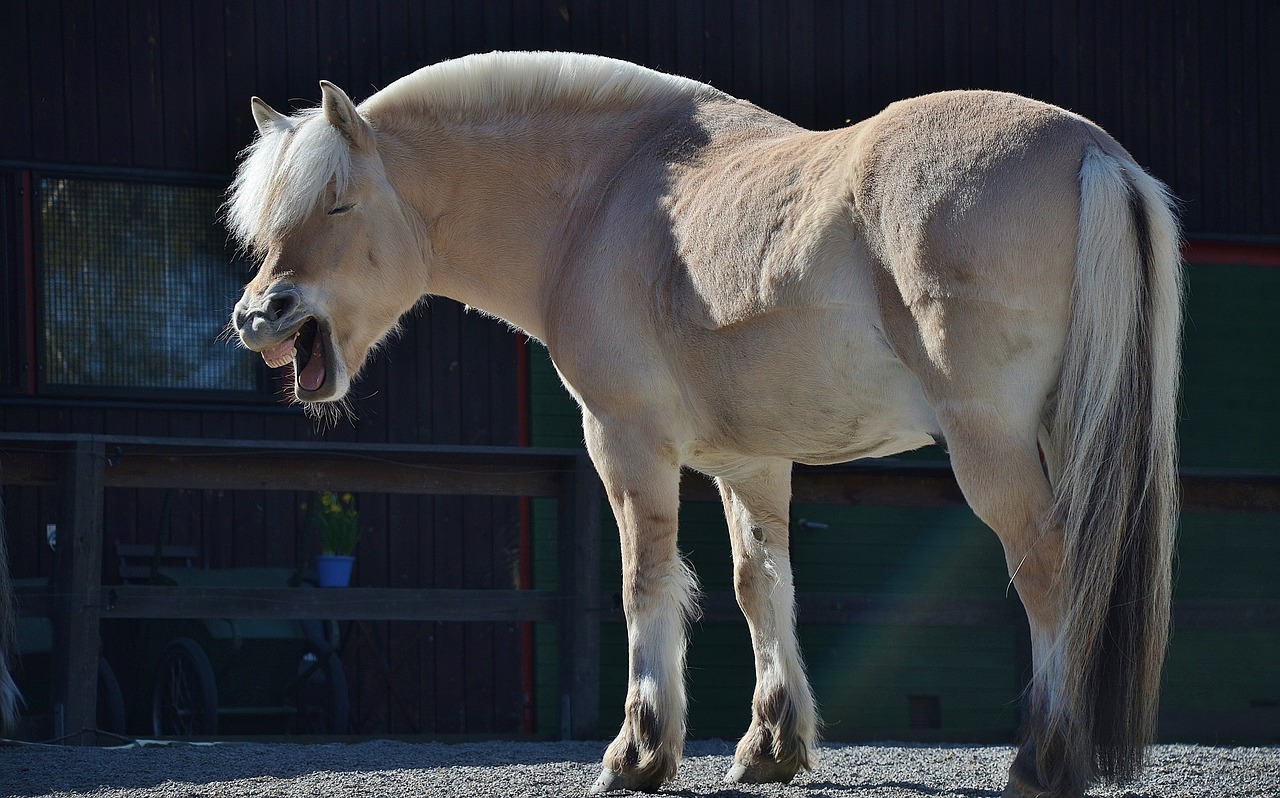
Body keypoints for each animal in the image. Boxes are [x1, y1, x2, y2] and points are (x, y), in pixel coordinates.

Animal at [227, 51, 1177, 798]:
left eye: (340, 203)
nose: (258, 315)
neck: (601, 198)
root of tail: (1094, 154)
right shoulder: (751, 463)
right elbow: (762, 585)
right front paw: (771, 747)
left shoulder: (624, 442)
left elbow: (644, 582)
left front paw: (639, 754)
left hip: (995, 448)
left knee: (1051, 573)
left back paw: (1042, 763)